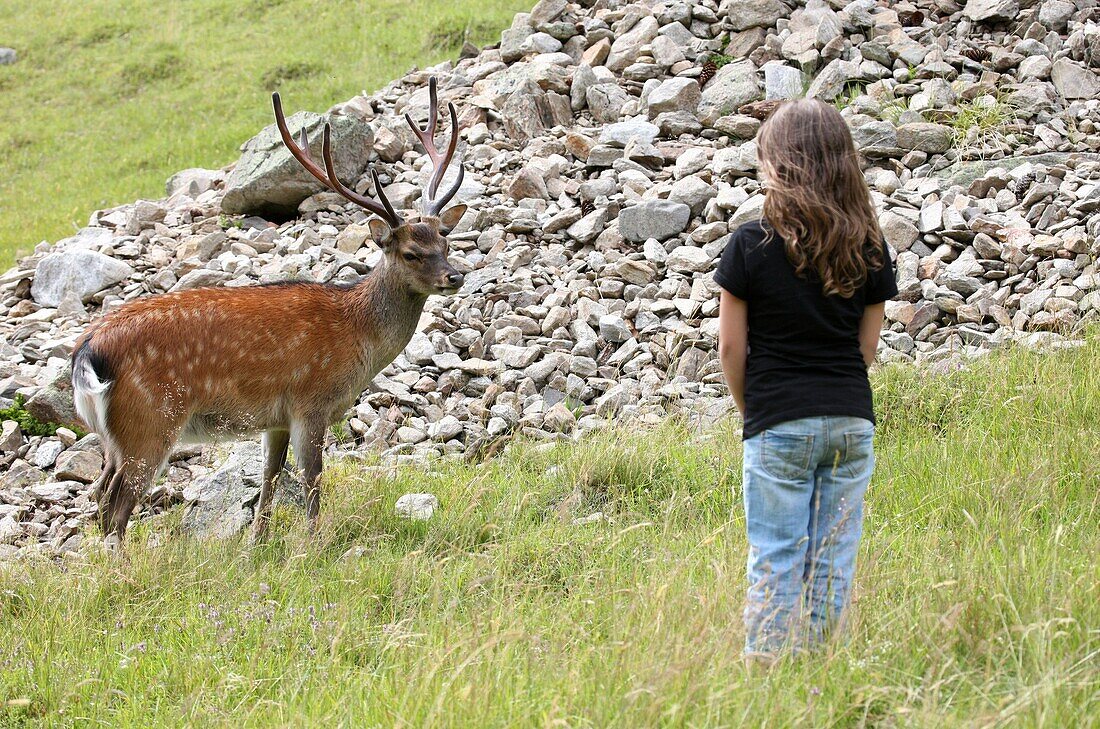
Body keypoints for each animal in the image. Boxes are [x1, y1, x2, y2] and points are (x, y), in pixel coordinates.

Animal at [73, 78, 468, 547]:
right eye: (411, 253)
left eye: (445, 242)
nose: (455, 276)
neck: (357, 336)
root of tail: (86, 353)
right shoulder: (310, 401)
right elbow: (313, 477)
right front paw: (314, 542)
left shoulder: (274, 417)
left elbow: (270, 477)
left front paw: (256, 542)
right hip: (149, 421)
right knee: (116, 506)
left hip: (114, 437)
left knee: (99, 496)